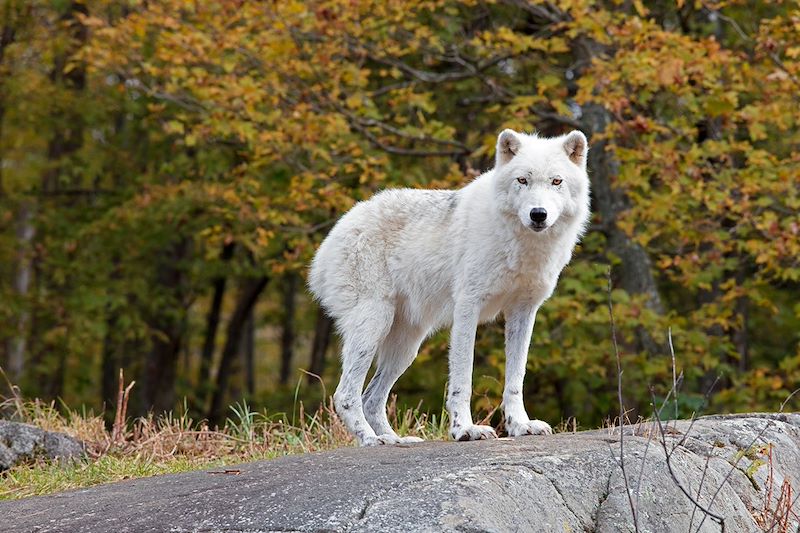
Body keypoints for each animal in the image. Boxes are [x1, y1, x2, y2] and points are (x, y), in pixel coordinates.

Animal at [308, 129, 591, 446]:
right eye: (522, 180)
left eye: (556, 181)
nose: (538, 214)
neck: (521, 245)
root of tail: (332, 238)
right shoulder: (468, 307)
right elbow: (463, 377)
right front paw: (464, 429)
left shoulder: (523, 311)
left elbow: (516, 378)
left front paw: (520, 425)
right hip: (373, 326)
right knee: (345, 395)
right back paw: (371, 440)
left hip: (406, 346)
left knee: (371, 398)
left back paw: (397, 440)